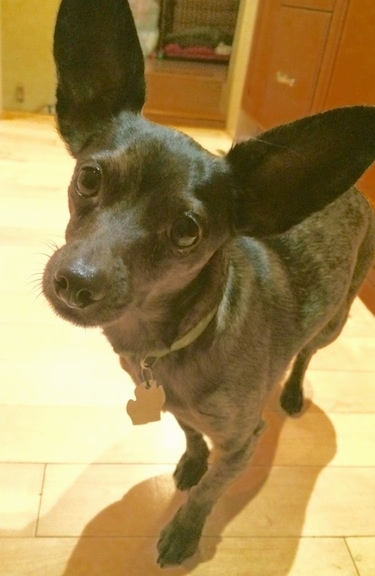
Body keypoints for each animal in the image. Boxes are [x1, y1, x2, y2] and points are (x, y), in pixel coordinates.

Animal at [42, 0, 375, 568]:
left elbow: (209, 492)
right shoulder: (177, 409)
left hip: (336, 319)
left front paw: (185, 530)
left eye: (186, 231)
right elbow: (193, 438)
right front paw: (192, 462)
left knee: (307, 353)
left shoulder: (242, 442)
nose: (74, 282)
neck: (168, 341)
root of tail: (353, 191)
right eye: (89, 179)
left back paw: (291, 391)